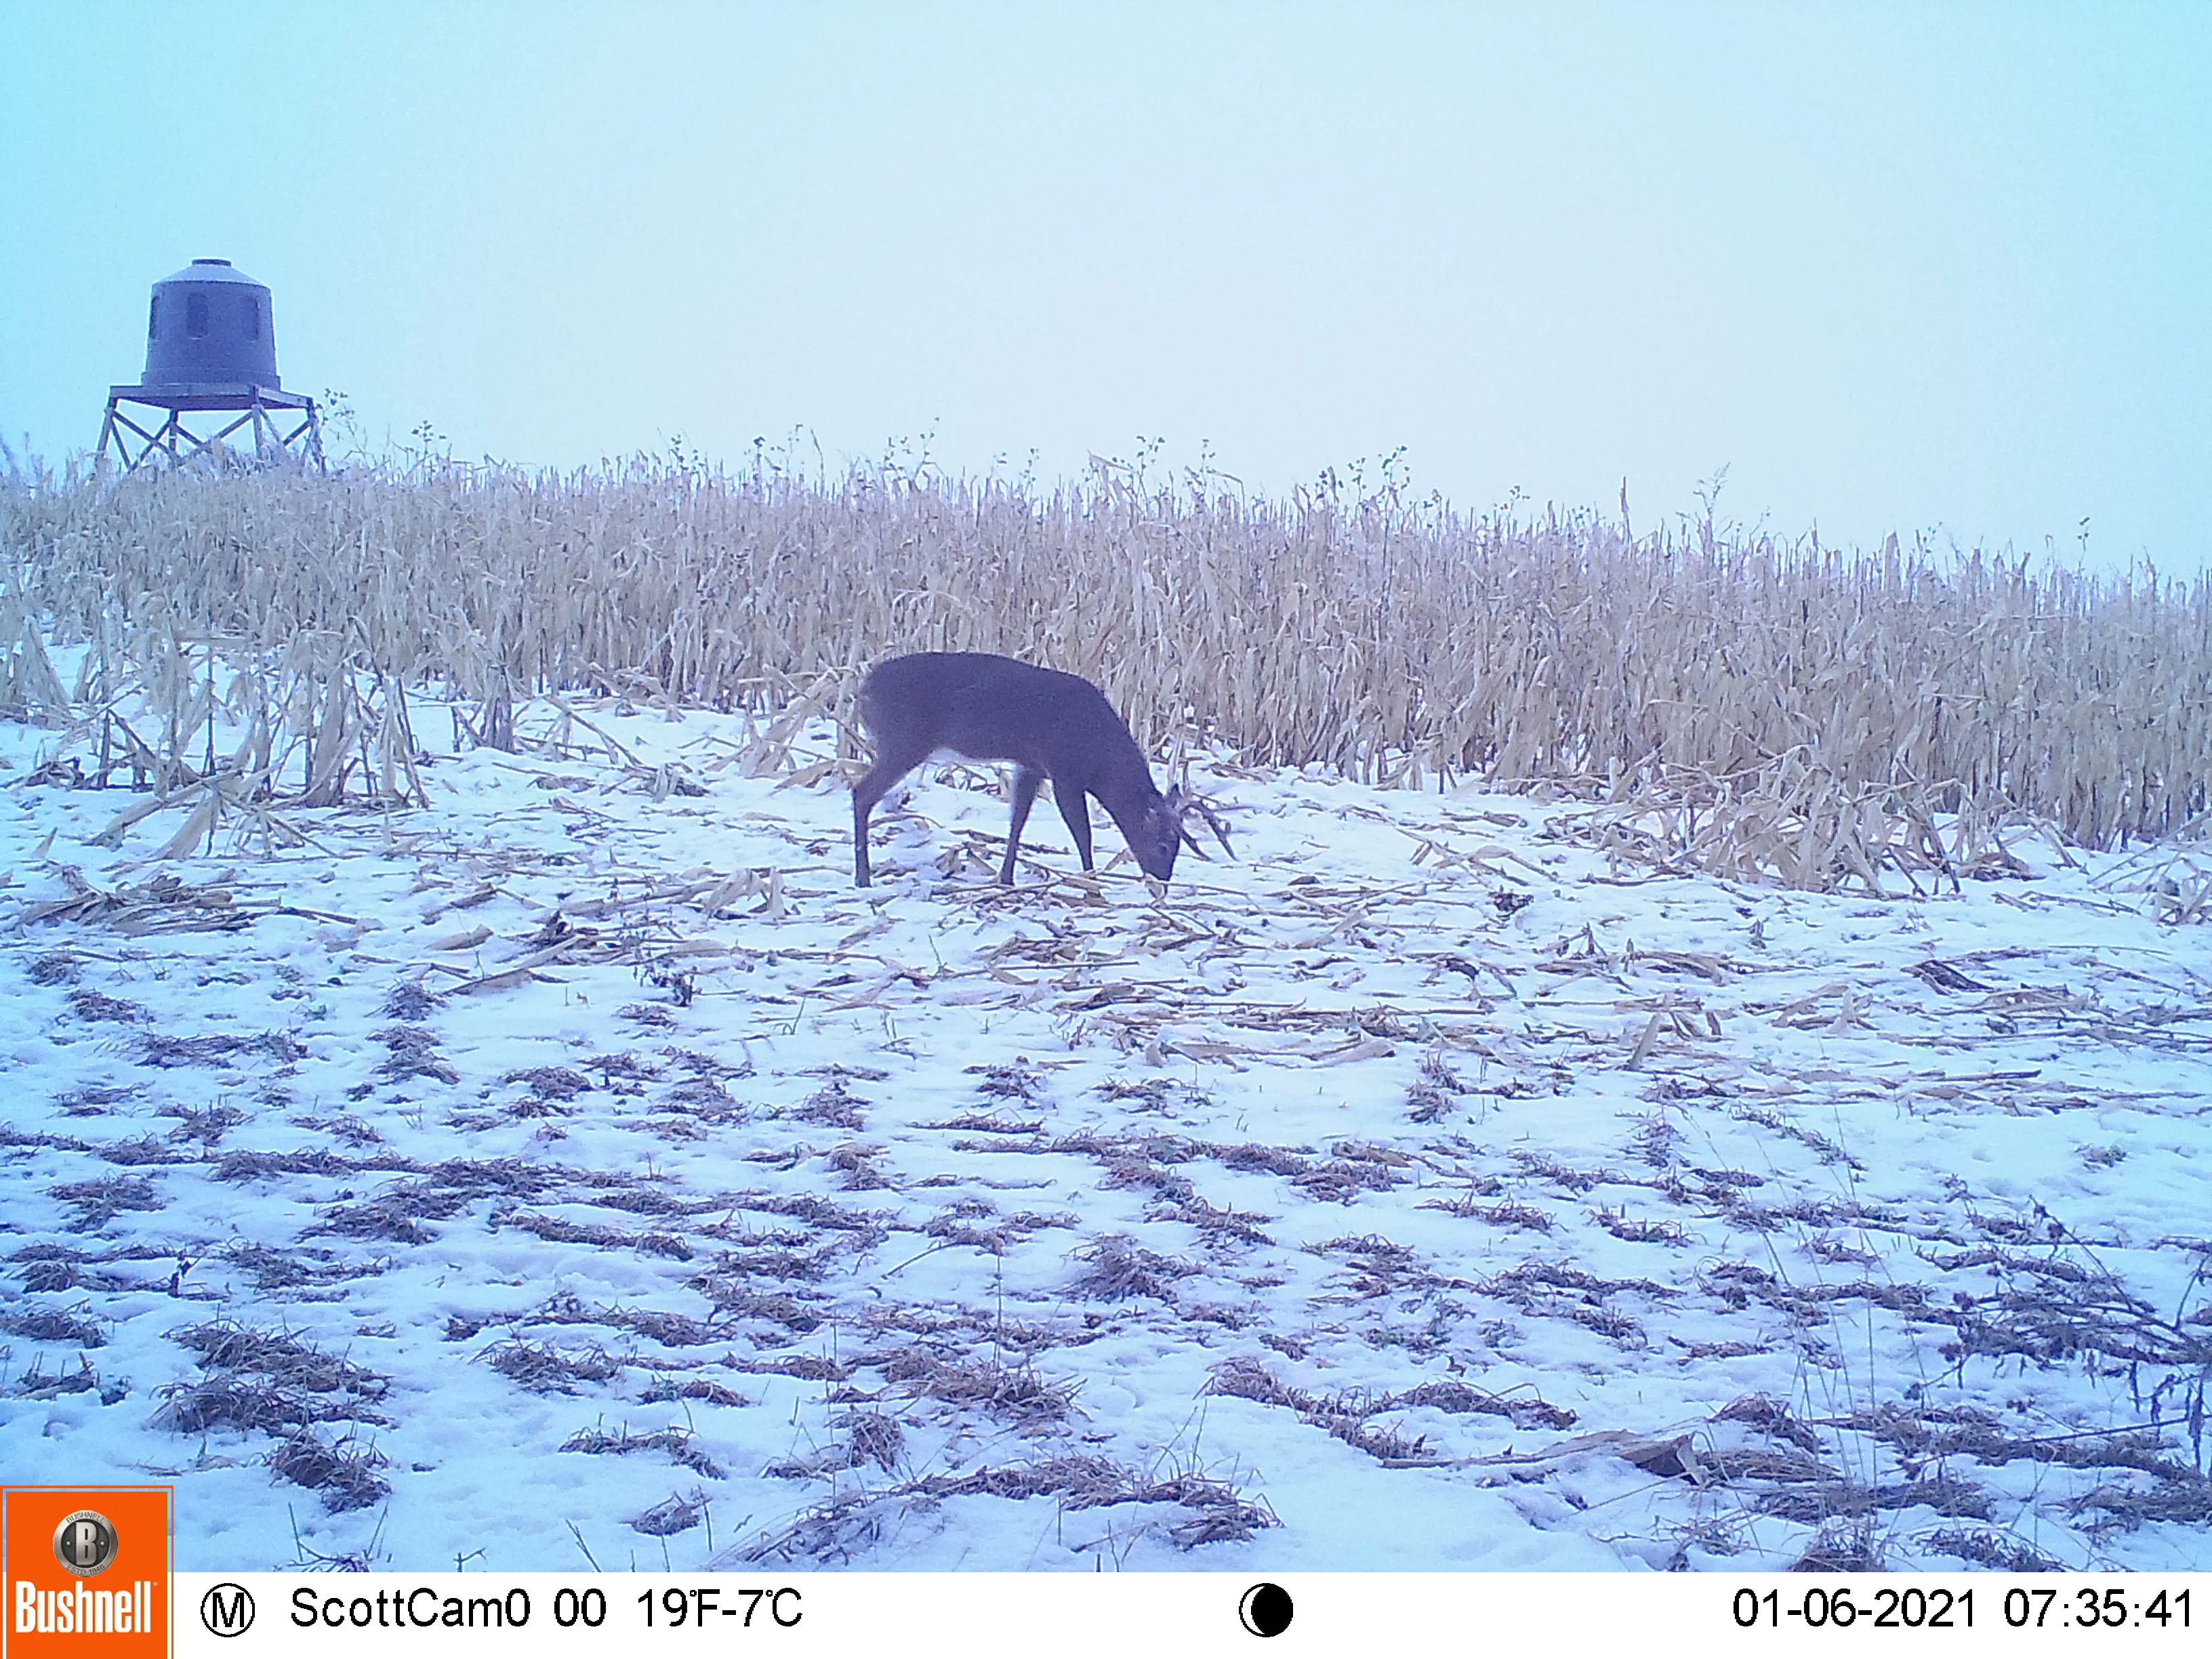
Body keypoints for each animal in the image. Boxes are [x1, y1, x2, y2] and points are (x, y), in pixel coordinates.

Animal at [849, 655, 1238, 889]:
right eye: (1163, 844)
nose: (1163, 881)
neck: (1100, 757)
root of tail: (863, 689)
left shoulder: (1030, 766)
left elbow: (1017, 822)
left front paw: (1006, 878)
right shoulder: (1064, 770)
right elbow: (1082, 831)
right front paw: (1090, 878)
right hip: (904, 740)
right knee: (861, 793)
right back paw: (863, 878)